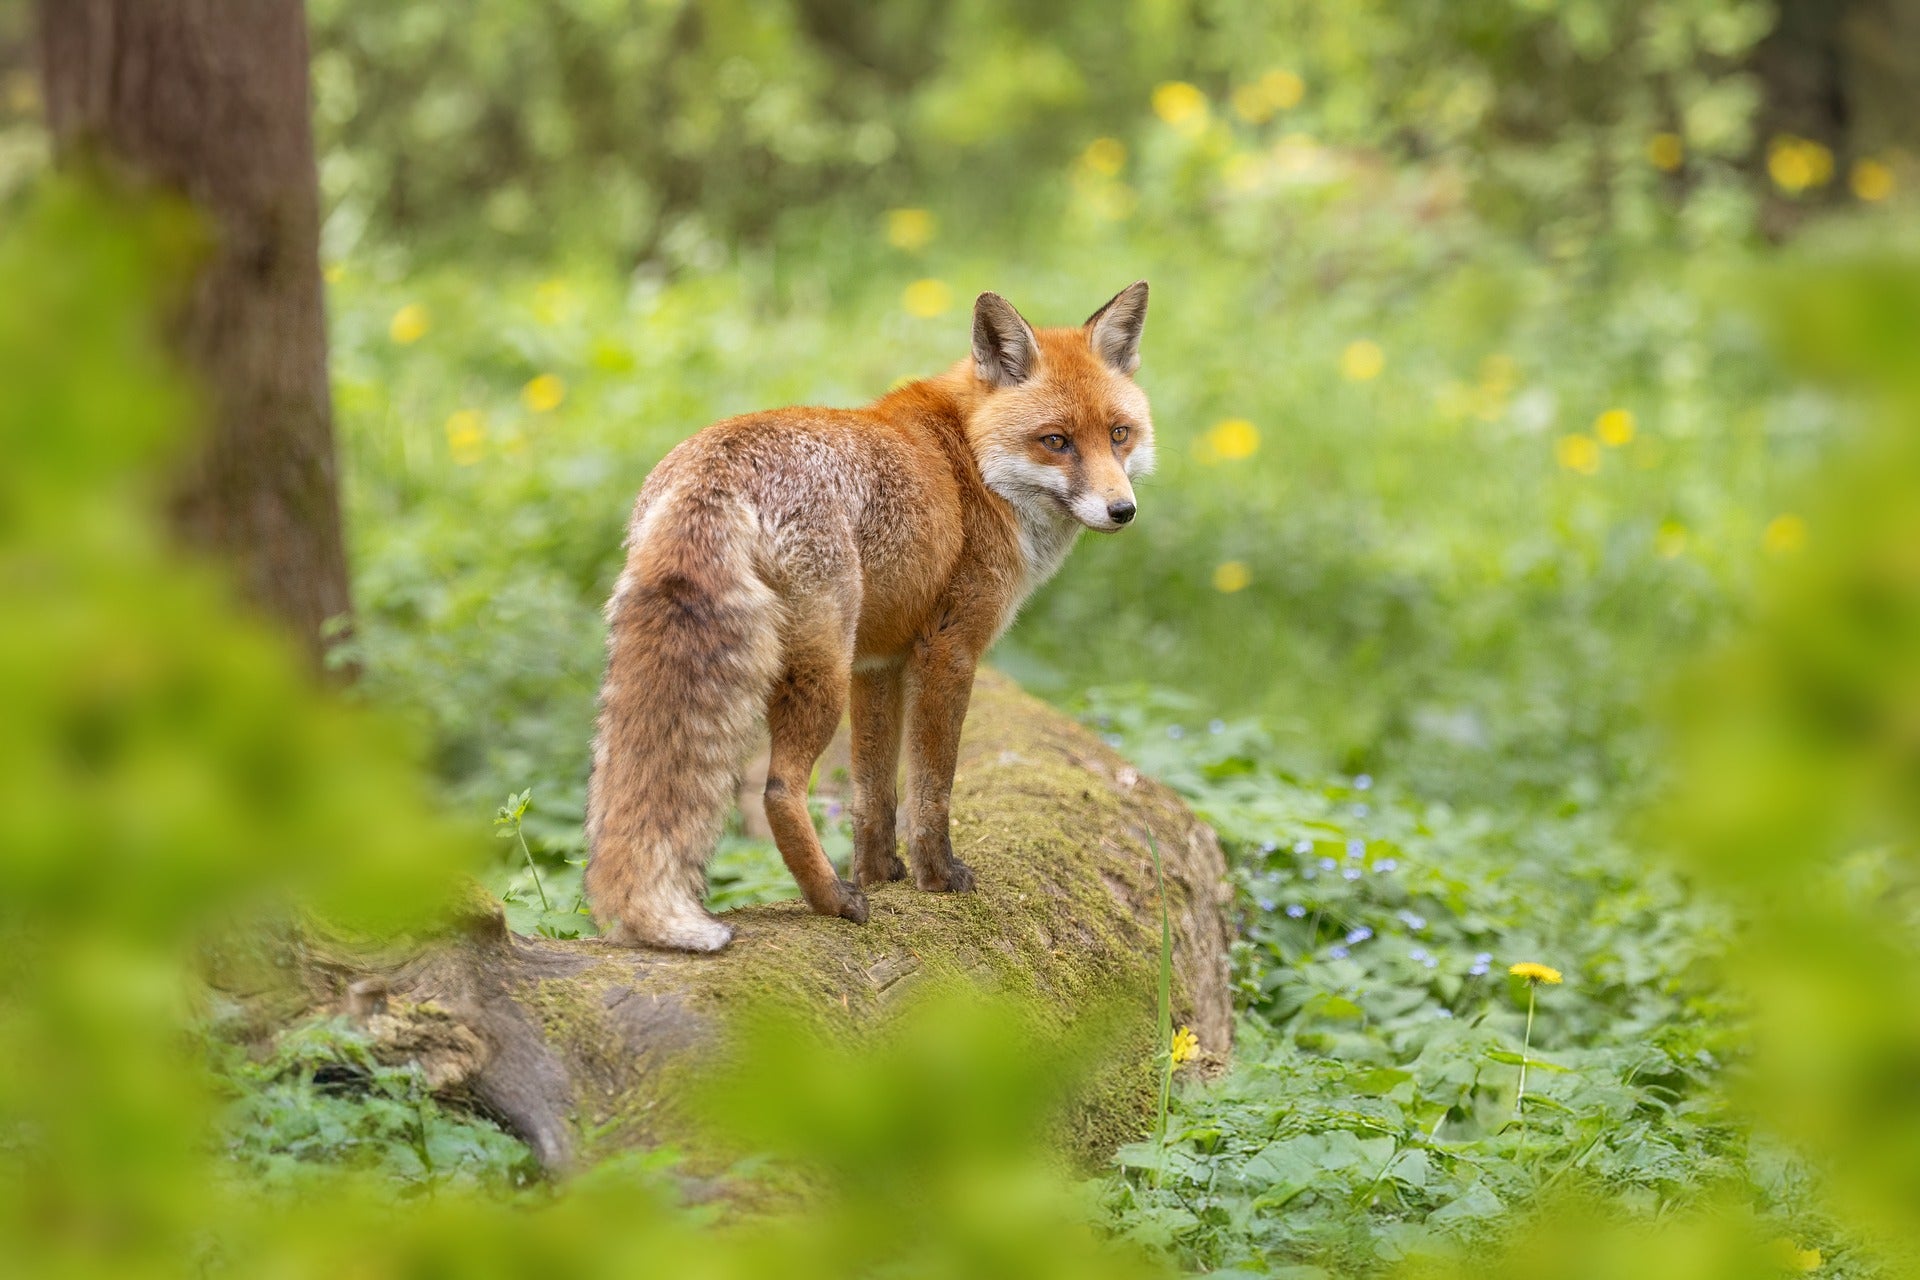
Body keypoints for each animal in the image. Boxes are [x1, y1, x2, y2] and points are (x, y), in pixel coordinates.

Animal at [584, 282, 1154, 951]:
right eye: (1056, 441)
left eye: (1118, 434)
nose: (1122, 510)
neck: (970, 460)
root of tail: (714, 471)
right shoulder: (948, 650)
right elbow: (932, 789)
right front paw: (937, 878)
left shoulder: (877, 663)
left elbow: (873, 793)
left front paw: (881, 874)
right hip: (820, 674)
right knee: (779, 790)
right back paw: (832, 899)